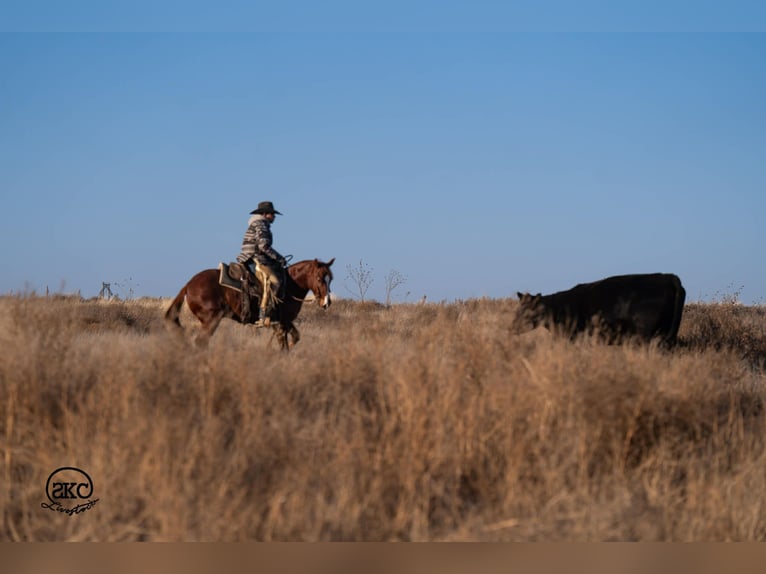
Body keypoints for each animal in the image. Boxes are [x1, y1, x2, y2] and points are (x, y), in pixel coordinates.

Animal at [165, 258, 335, 350]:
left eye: (330, 279)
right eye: (319, 278)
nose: (326, 302)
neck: (289, 286)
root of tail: (188, 285)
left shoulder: (284, 322)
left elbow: (295, 338)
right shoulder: (280, 323)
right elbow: (284, 346)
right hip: (210, 320)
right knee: (201, 342)